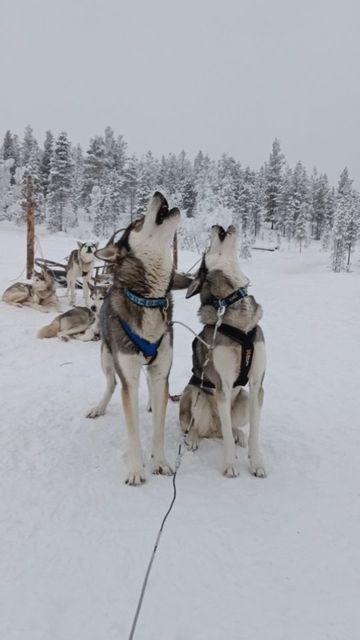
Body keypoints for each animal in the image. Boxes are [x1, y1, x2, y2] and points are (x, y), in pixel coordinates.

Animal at [87, 190, 181, 484]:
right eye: (138, 222)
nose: (159, 192)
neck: (148, 299)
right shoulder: (128, 377)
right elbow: (133, 431)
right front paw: (137, 469)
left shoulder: (162, 372)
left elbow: (158, 428)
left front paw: (159, 462)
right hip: (106, 358)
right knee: (110, 384)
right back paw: (99, 406)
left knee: (152, 389)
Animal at [179, 222, 266, 478]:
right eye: (207, 247)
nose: (216, 224)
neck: (230, 300)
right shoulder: (222, 387)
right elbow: (225, 437)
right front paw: (229, 464)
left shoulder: (256, 385)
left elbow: (256, 432)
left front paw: (256, 462)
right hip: (195, 394)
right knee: (198, 427)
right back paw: (194, 438)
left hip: (244, 398)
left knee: (227, 428)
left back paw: (240, 434)